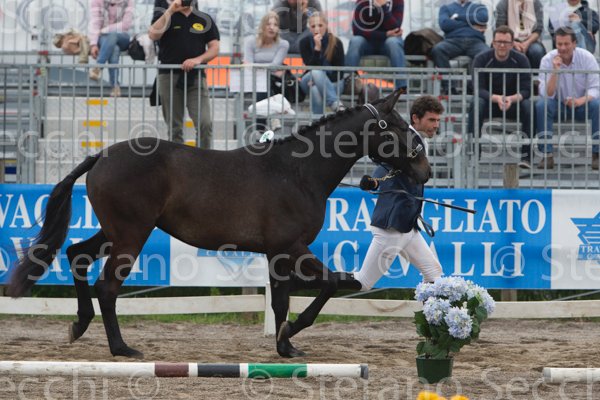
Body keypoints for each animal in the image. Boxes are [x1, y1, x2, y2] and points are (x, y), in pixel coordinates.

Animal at [7, 89, 430, 359]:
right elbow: (329, 284)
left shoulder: (277, 255)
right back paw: (121, 348)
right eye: (396, 125)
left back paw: (79, 325)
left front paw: (285, 346)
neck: (297, 172)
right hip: (131, 235)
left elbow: (282, 300)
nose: (424, 170)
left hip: (115, 232)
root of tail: (101, 157)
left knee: (77, 255)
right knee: (106, 287)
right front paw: (291, 333)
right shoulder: (290, 248)